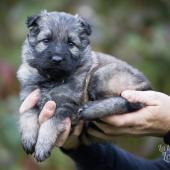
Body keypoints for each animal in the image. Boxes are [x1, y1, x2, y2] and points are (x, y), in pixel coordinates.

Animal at [16, 10, 150, 162]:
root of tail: (145, 83)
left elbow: (50, 124)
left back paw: (91, 108)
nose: (57, 59)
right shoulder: (29, 97)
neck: (52, 79)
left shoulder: (64, 106)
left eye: (70, 43)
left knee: (127, 101)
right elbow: (27, 115)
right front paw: (28, 138)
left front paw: (42, 146)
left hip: (101, 75)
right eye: (46, 40)